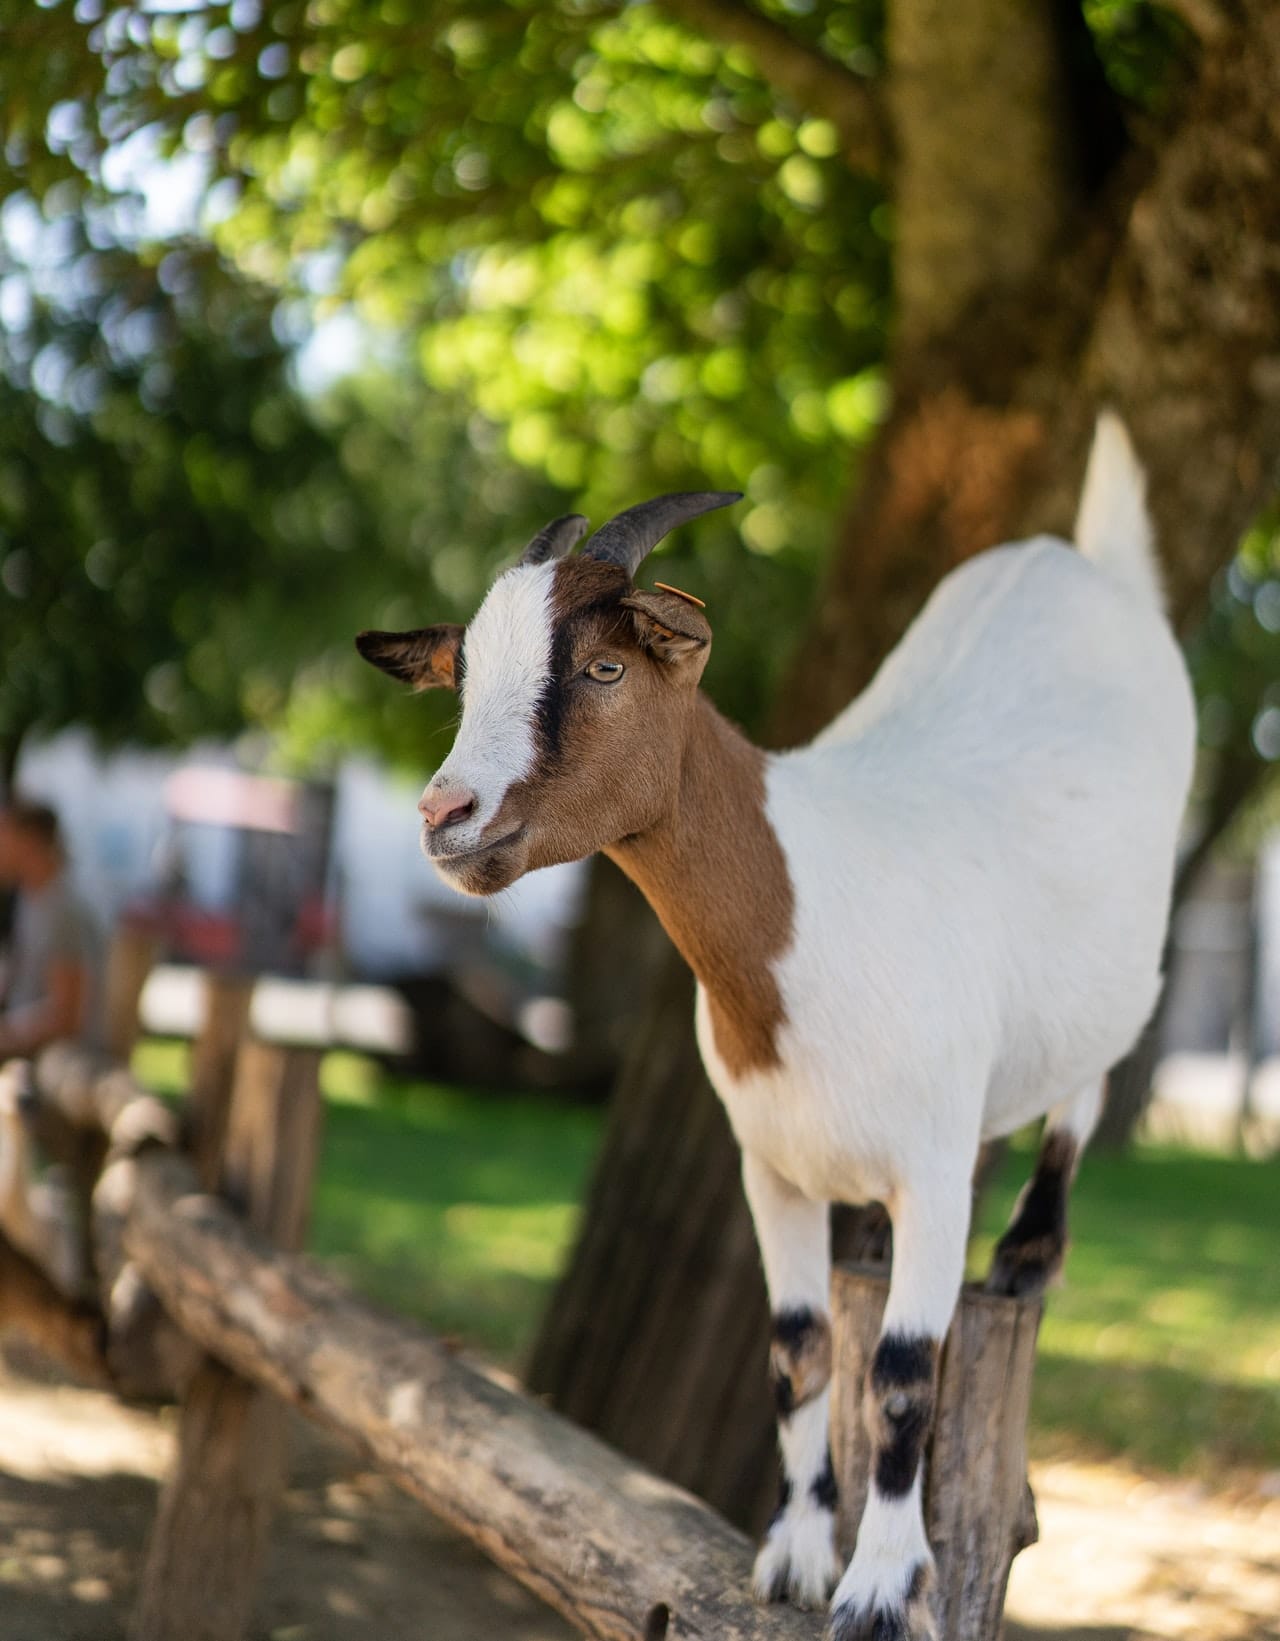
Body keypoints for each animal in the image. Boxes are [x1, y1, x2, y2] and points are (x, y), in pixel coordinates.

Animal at [354, 413, 1194, 1641]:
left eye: (605, 667)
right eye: (462, 677)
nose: (444, 815)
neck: (810, 920)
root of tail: (1086, 561)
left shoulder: (933, 1166)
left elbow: (902, 1369)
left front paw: (882, 1584)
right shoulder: (771, 1167)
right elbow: (798, 1355)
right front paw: (795, 1553)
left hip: (1131, 938)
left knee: (1099, 1062)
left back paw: (1031, 1252)